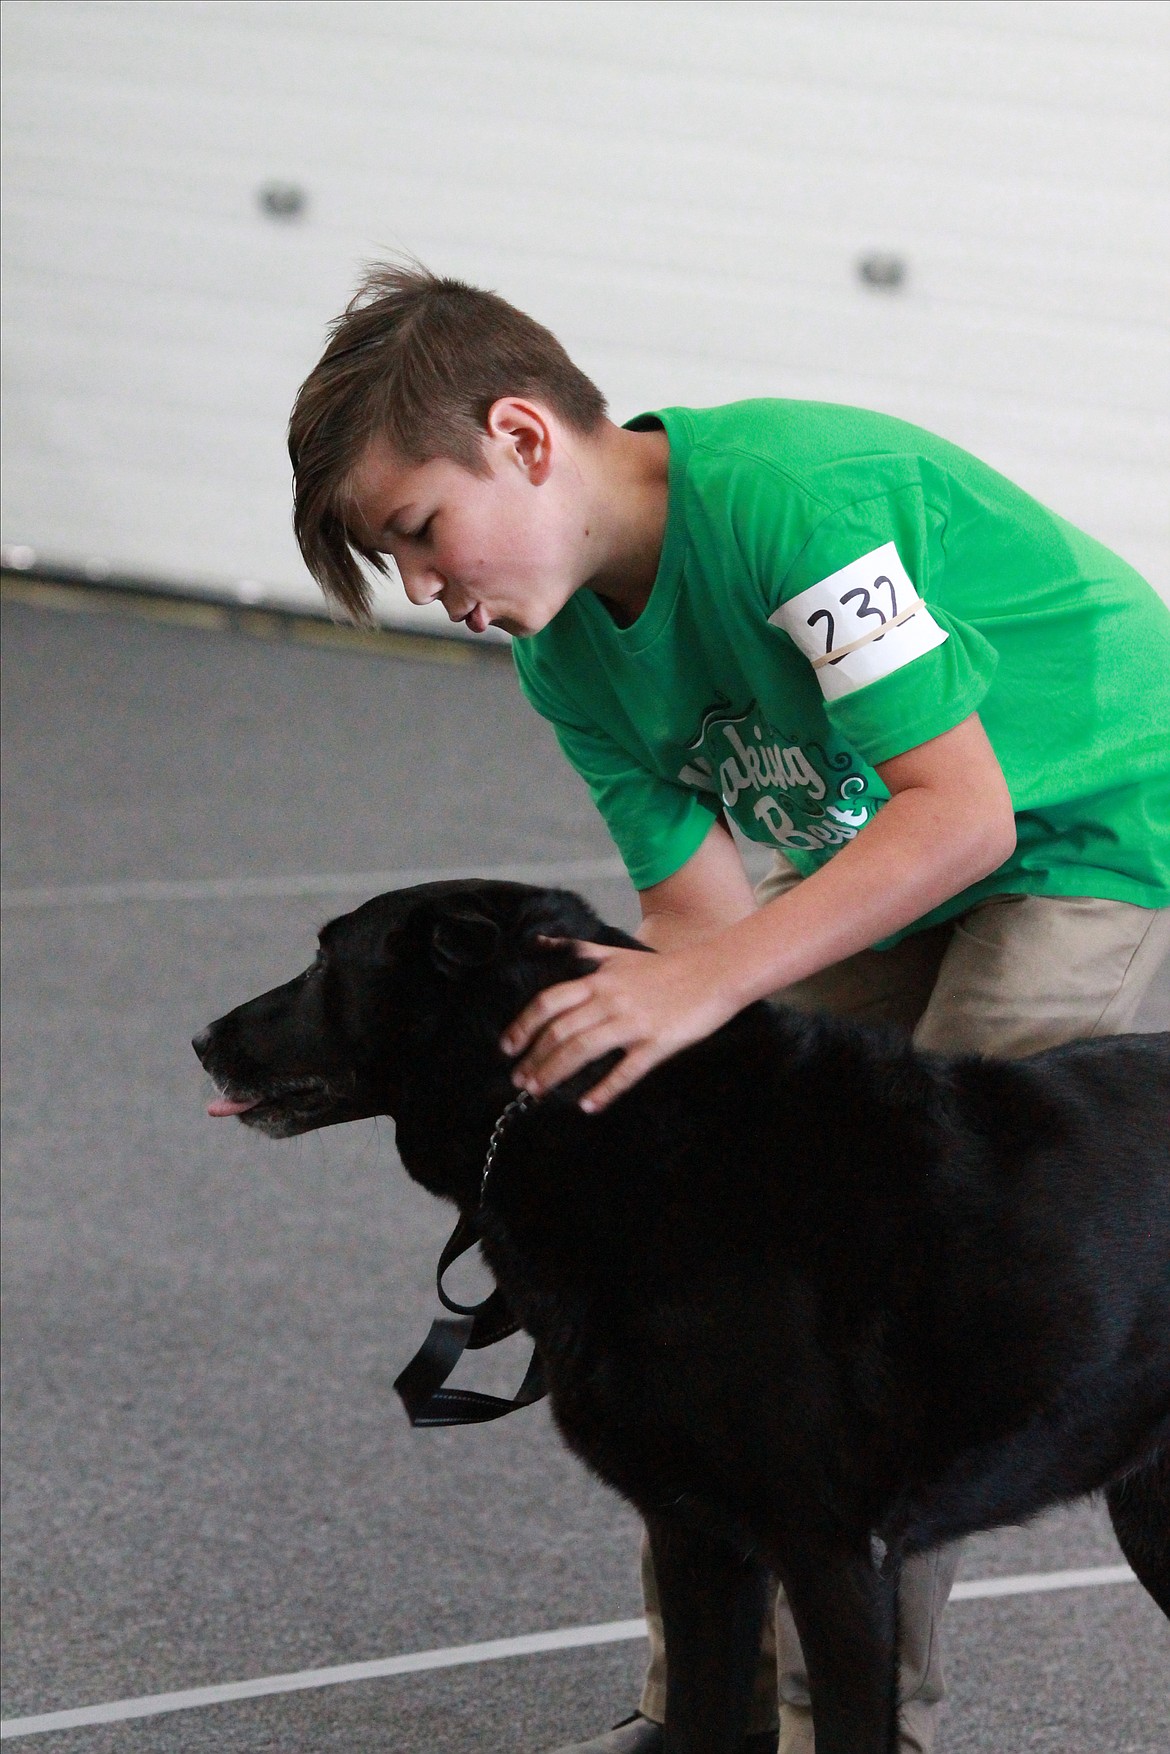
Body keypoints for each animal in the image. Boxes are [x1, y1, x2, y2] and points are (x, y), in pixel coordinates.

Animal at [196, 884, 1170, 1746]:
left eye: (326, 961)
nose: (201, 1037)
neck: (591, 1117)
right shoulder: (694, 1533)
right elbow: (701, 1713)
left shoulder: (834, 1556)